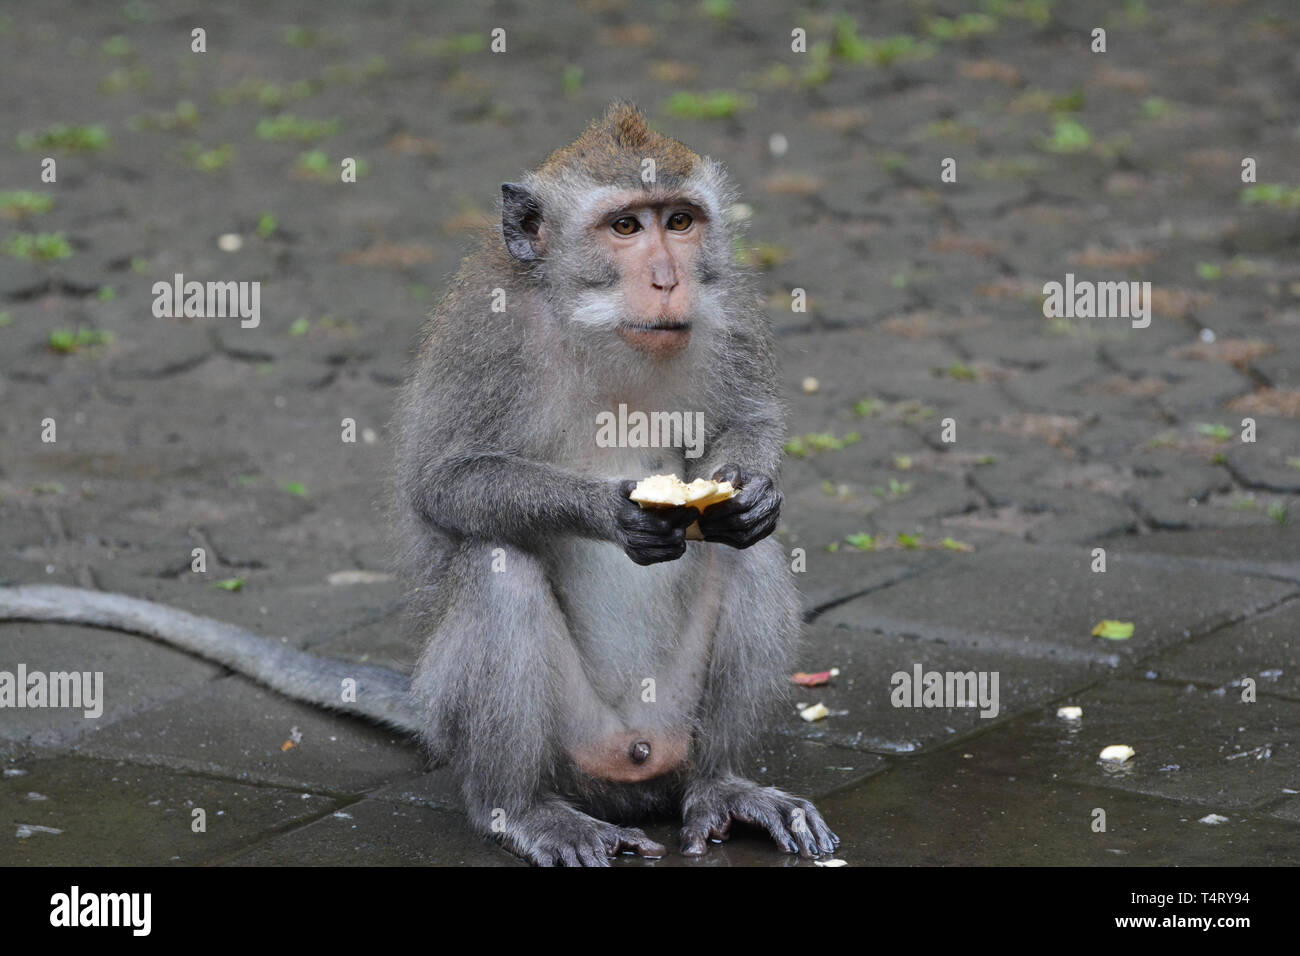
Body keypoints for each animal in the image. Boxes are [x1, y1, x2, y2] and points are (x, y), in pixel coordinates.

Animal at [0, 104, 838, 866]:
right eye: (625, 228)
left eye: (680, 220)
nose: (667, 278)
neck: (597, 325)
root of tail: (637, 760)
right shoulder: (486, 332)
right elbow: (446, 484)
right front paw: (611, 510)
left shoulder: (728, 308)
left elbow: (749, 423)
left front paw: (753, 491)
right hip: (522, 725)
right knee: (498, 570)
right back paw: (521, 810)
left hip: (666, 729)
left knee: (747, 555)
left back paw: (720, 785)